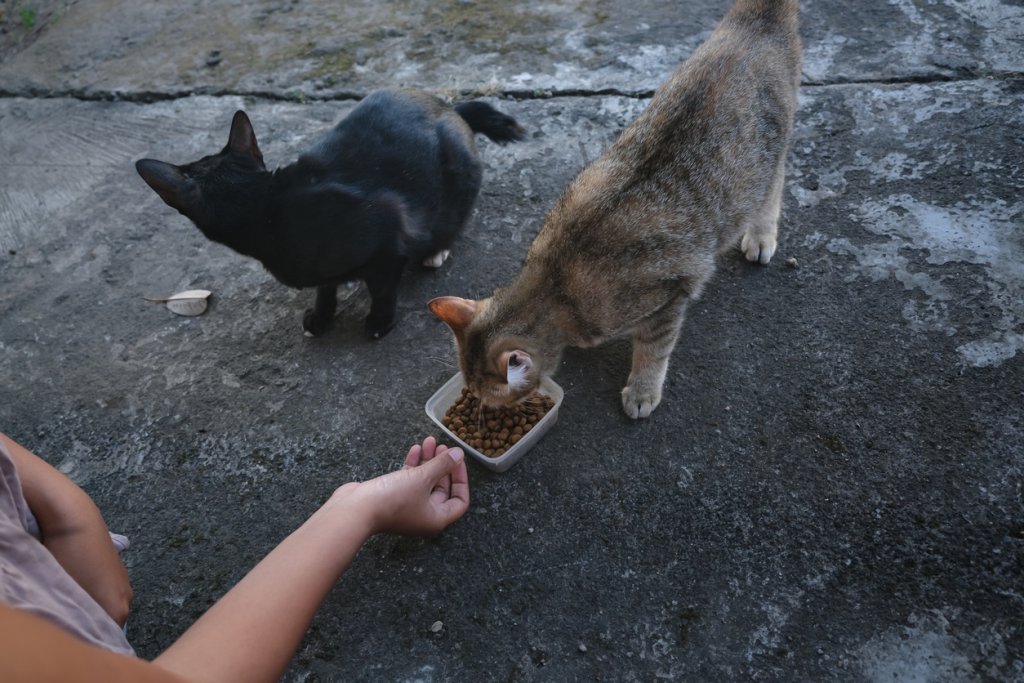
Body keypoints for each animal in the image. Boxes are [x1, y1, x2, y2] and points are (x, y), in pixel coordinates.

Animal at [135, 88, 520, 339]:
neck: (268, 208)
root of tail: (450, 108)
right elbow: (326, 286)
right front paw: (322, 315)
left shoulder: (387, 239)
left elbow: (382, 288)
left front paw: (379, 321)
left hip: (458, 177)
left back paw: (435, 251)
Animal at [423, 0, 798, 419]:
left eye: (488, 397)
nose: (479, 406)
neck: (554, 283)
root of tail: (756, 22)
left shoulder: (668, 300)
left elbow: (653, 351)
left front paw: (642, 389)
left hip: (764, 166)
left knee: (774, 189)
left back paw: (761, 235)